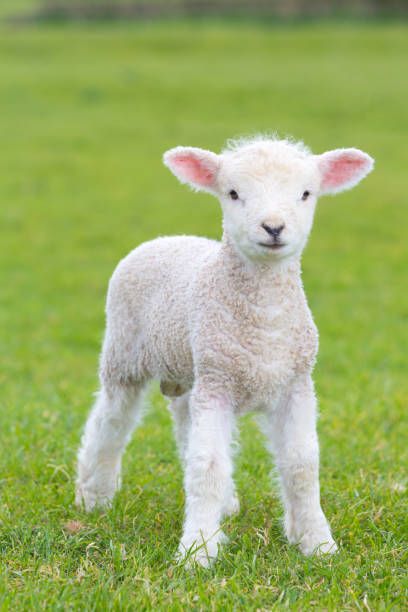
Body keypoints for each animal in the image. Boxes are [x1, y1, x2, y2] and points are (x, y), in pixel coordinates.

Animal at [75, 136, 374, 568]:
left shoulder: (295, 383)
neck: (264, 320)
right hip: (125, 353)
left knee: (183, 422)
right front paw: (197, 551)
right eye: (233, 193)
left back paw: (226, 503)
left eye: (306, 193)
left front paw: (317, 543)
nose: (273, 227)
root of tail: (167, 238)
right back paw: (93, 495)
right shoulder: (217, 385)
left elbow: (302, 466)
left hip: (192, 368)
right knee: (110, 422)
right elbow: (209, 465)